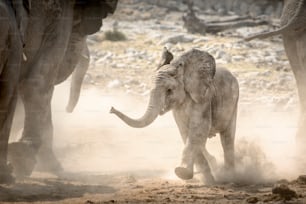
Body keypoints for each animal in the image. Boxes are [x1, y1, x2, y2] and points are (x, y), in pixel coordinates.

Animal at [110, 47, 239, 183]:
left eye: (169, 90)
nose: (111, 109)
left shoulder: (203, 98)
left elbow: (198, 130)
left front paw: (181, 173)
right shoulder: (178, 109)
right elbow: (185, 132)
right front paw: (206, 180)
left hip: (234, 102)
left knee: (227, 138)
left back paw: (230, 177)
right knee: (204, 142)